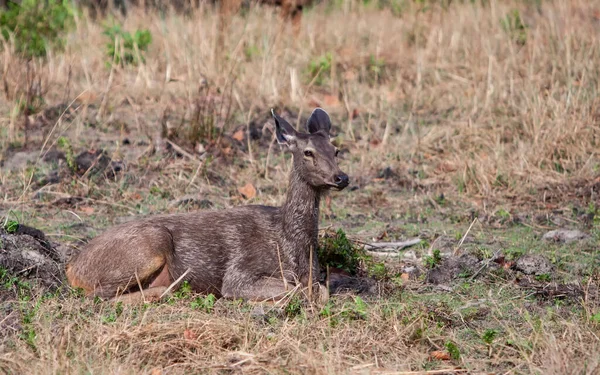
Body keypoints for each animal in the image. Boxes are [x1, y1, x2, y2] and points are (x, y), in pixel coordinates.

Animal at [66, 108, 350, 306]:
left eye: (336, 150)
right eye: (308, 152)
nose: (342, 177)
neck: (292, 245)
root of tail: (72, 268)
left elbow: (319, 290)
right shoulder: (239, 274)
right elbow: (298, 291)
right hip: (148, 246)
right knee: (97, 297)